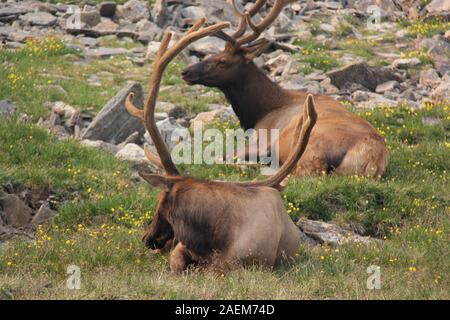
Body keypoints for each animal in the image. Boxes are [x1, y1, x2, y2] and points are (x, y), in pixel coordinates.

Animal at [181, 0, 388, 178]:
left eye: (222, 61)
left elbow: (222, 154)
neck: (260, 112)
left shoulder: (262, 138)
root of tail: (372, 158)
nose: (186, 72)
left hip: (309, 148)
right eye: (214, 54)